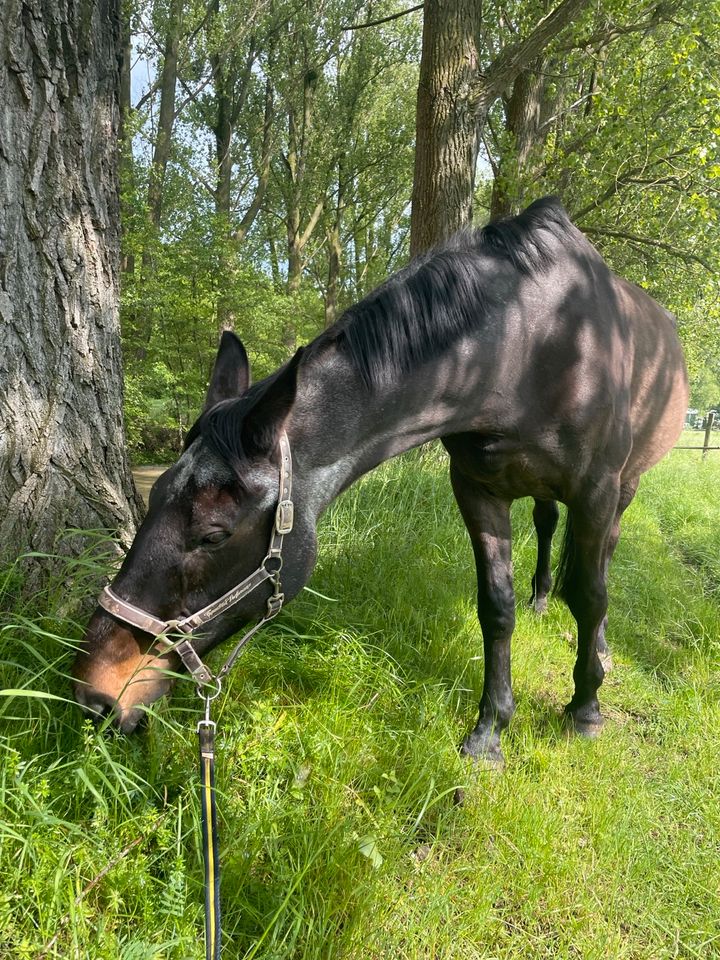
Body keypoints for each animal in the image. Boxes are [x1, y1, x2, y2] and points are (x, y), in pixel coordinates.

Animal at [73, 197, 688, 764]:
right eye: (152, 497)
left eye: (213, 535)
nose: (94, 695)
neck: (531, 344)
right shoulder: (477, 489)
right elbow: (496, 606)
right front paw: (491, 729)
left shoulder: (596, 490)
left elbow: (590, 595)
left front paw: (585, 708)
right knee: (545, 522)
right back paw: (543, 599)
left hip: (624, 489)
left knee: (600, 565)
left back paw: (598, 653)